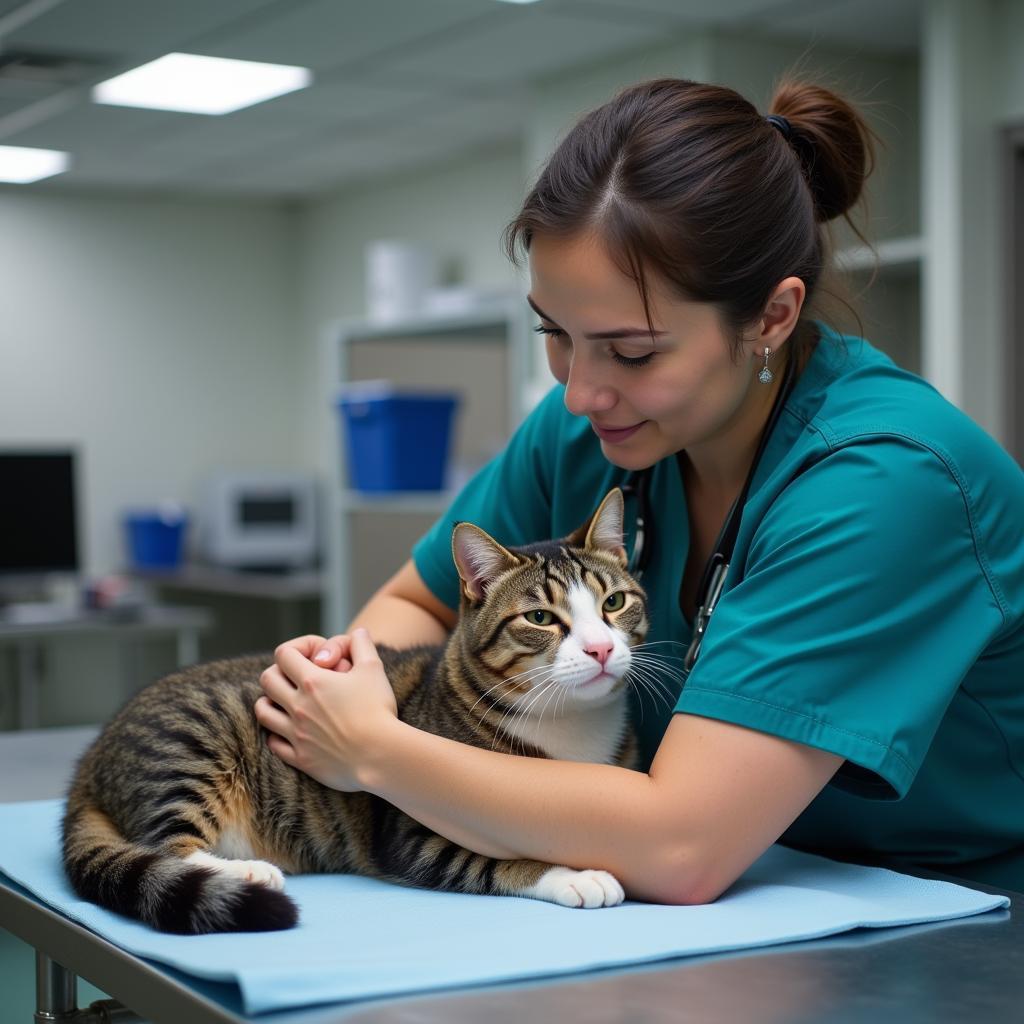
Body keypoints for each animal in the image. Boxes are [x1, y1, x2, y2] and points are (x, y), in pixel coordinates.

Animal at [64, 489, 651, 937]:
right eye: (540, 618)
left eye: (614, 603)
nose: (601, 648)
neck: (570, 722)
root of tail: (91, 758)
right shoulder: (412, 838)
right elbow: (496, 860)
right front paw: (573, 875)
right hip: (193, 743)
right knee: (164, 844)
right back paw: (247, 874)